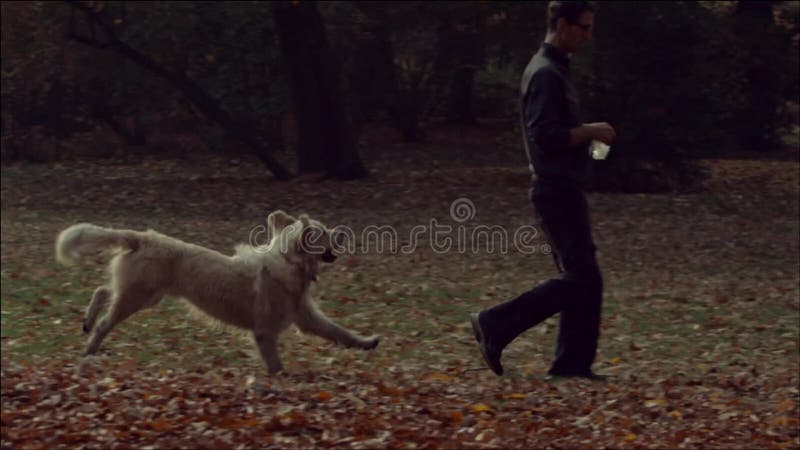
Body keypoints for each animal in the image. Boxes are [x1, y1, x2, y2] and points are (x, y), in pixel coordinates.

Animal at [56, 213, 382, 374]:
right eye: (324, 233)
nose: (343, 235)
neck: (290, 262)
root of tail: (144, 237)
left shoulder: (307, 318)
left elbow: (339, 332)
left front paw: (367, 342)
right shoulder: (265, 332)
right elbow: (276, 366)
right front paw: (281, 381)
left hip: (143, 295)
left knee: (102, 290)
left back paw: (86, 322)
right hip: (136, 297)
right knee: (104, 323)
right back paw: (89, 350)